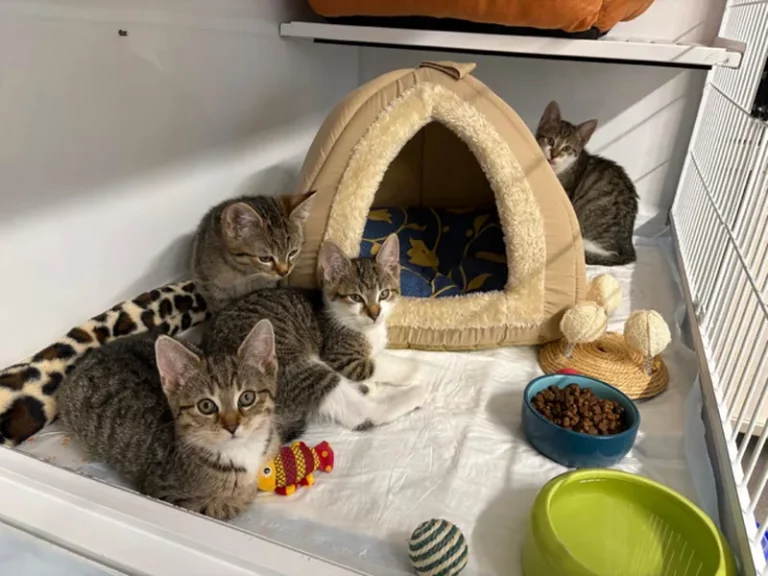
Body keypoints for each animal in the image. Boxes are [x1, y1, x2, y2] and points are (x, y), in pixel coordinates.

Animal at [58, 320, 279, 520]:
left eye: (247, 398)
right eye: (206, 406)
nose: (232, 426)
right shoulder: (166, 492)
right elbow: (223, 505)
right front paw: (239, 497)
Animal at [203, 233, 428, 444]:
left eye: (384, 294)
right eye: (355, 297)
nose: (375, 314)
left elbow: (381, 355)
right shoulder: (342, 358)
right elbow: (382, 364)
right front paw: (426, 370)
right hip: (295, 366)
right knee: (362, 413)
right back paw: (415, 394)